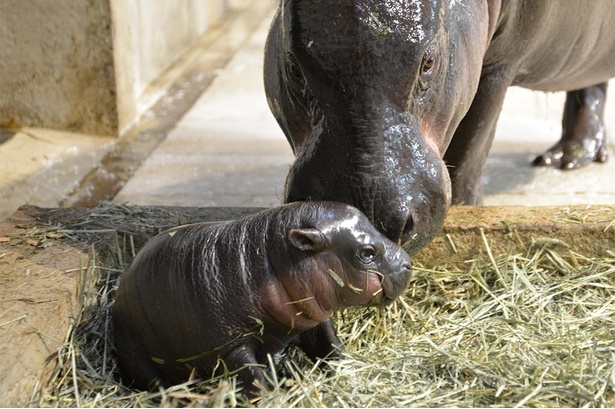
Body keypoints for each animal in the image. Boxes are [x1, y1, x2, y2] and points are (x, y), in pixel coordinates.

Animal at [114, 201, 414, 392]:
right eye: (367, 253)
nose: (408, 263)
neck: (270, 259)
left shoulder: (310, 318)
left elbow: (330, 346)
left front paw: (347, 367)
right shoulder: (232, 348)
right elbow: (255, 380)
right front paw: (275, 396)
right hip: (136, 353)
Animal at [264, 0, 615, 255]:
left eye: (429, 61)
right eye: (294, 67)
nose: (368, 219)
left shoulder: (496, 66)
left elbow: (470, 149)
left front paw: (467, 212)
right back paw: (570, 157)